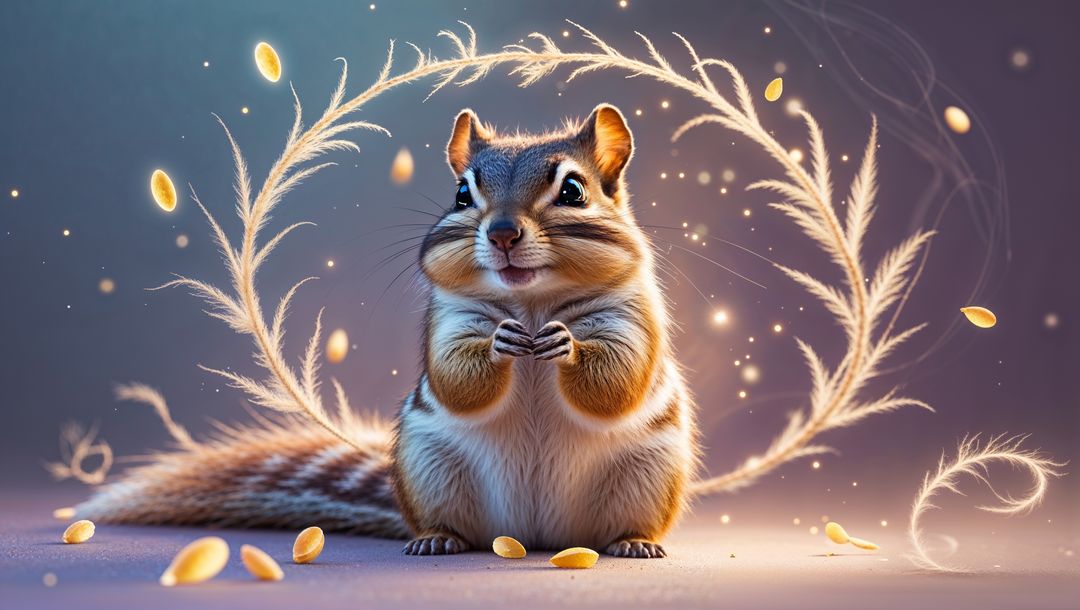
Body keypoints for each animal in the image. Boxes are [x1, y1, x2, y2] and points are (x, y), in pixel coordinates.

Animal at [74, 104, 698, 559]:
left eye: (574, 190)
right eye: (462, 194)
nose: (501, 232)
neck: (530, 306)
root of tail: (536, 536)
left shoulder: (630, 316)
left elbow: (616, 379)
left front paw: (566, 346)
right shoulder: (449, 320)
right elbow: (455, 378)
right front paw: (498, 346)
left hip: (648, 477)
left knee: (624, 525)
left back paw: (633, 543)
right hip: (430, 470)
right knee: (453, 526)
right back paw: (437, 539)